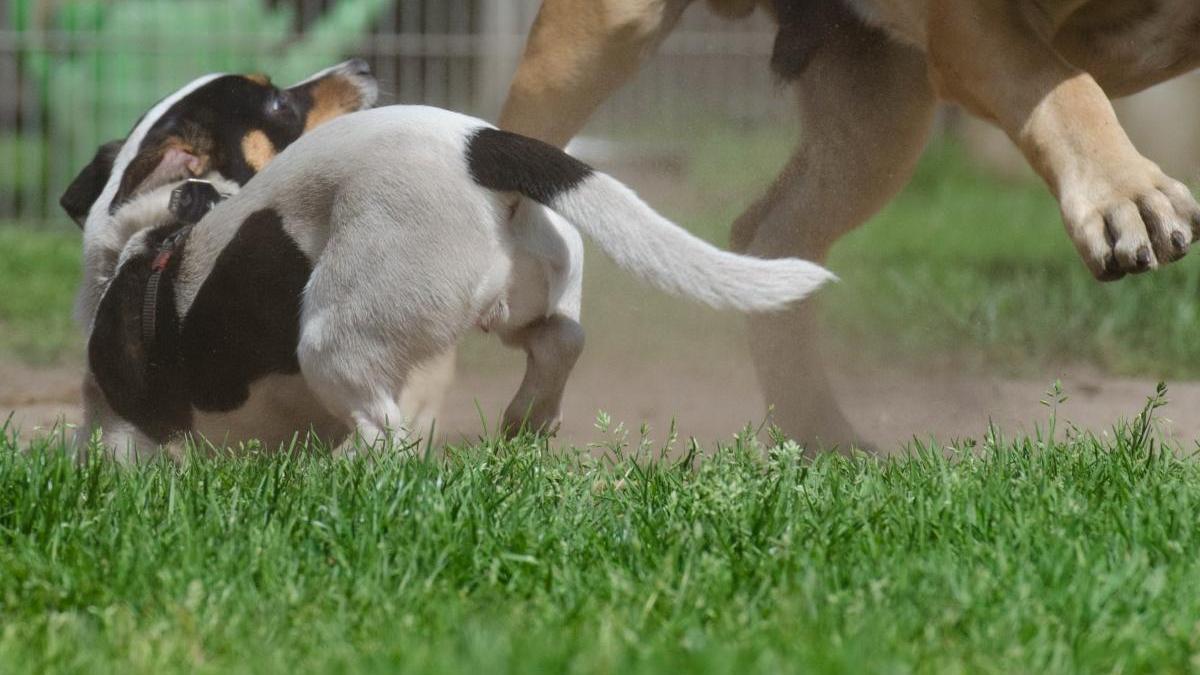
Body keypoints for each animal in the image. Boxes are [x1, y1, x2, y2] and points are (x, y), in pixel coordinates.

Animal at [68, 65, 835, 458]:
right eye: (281, 103)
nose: (363, 66)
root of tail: (481, 143)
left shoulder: (130, 433)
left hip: (331, 337)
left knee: (386, 439)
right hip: (518, 290)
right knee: (560, 339)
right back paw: (526, 420)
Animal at [487, 0, 1200, 449]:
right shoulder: (976, 23)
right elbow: (1064, 89)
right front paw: (1125, 197)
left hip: (878, 109)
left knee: (770, 239)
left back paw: (823, 435)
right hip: (598, 39)